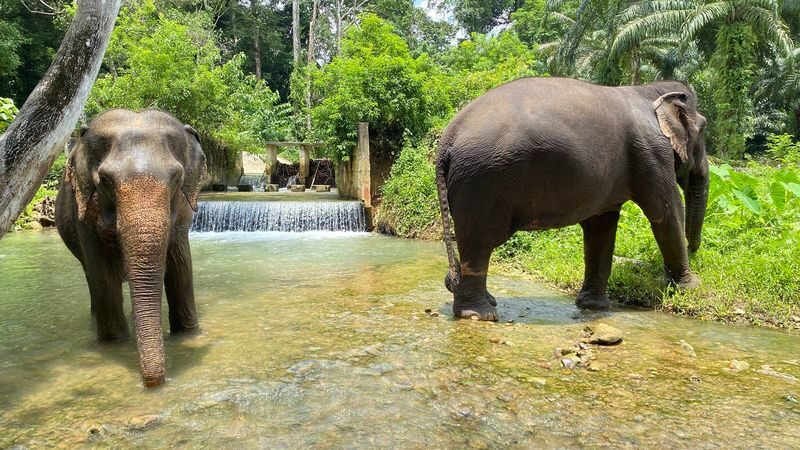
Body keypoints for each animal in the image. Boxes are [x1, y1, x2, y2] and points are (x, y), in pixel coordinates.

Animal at [56, 109, 207, 387]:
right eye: (105, 180)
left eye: (177, 178)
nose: (157, 383)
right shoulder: (84, 216)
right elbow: (103, 277)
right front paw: (114, 342)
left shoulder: (182, 214)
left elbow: (181, 269)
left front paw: (188, 334)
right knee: (93, 280)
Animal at [435, 77, 709, 321]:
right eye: (704, 127)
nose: (695, 250)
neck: (648, 90)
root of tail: (448, 138)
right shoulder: (652, 153)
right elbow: (666, 211)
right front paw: (691, 286)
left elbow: (601, 226)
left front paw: (594, 307)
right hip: (484, 182)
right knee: (480, 242)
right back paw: (480, 315)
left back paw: (485, 302)